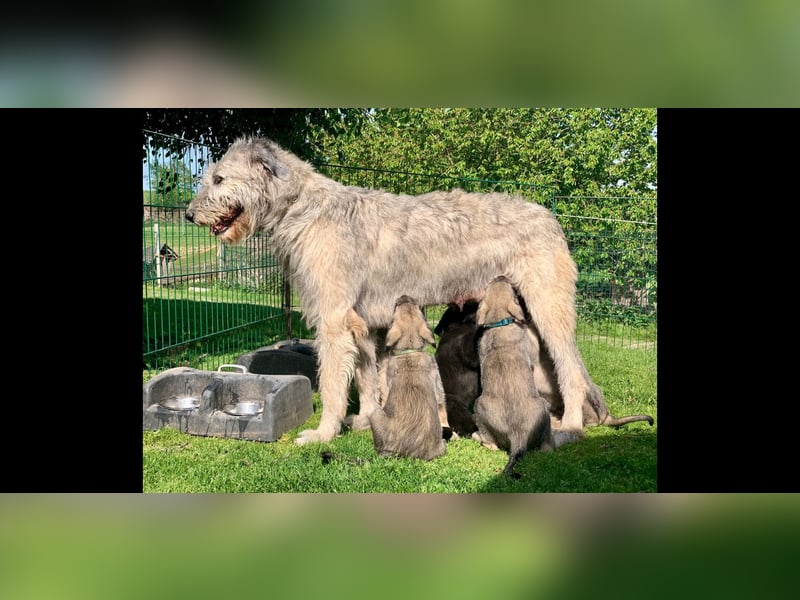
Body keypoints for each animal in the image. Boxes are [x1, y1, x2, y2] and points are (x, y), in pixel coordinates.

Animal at [368, 296, 450, 460]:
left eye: (396, 307)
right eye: (416, 306)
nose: (404, 296)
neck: (410, 351)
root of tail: (410, 454)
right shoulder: (438, 386)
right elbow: (443, 410)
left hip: (375, 414)